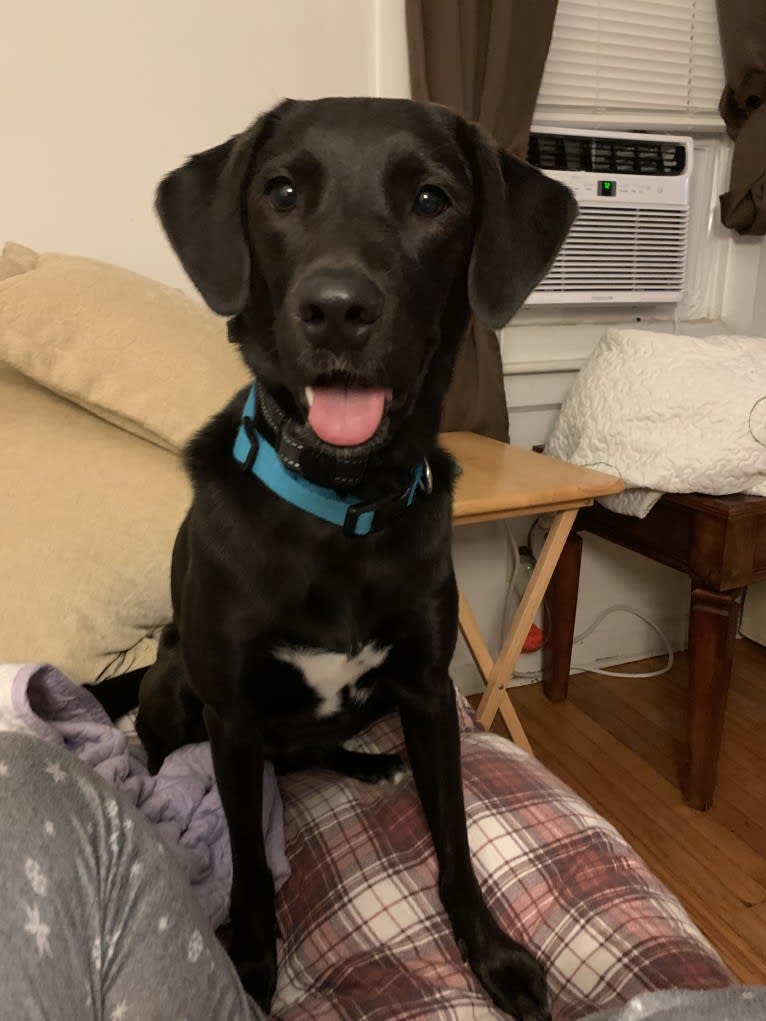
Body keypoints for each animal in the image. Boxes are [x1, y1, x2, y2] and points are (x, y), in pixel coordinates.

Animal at [136, 97, 576, 1021]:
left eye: (431, 199)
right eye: (281, 191)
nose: (337, 310)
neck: (342, 503)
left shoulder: (428, 689)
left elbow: (454, 840)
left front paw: (492, 955)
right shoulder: (233, 717)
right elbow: (251, 869)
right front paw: (252, 965)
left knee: (318, 747)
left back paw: (367, 760)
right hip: (179, 685)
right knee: (166, 747)